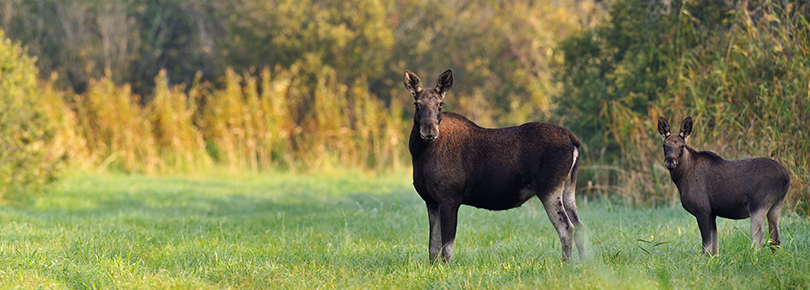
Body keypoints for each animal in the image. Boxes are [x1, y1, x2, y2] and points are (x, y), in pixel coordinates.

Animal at [652, 116, 788, 255]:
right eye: (664, 145)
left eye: (682, 146)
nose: (670, 161)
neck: (682, 179)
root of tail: (786, 177)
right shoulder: (712, 213)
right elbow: (714, 247)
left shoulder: (703, 210)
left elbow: (706, 247)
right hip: (776, 205)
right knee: (775, 239)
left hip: (758, 205)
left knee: (759, 240)